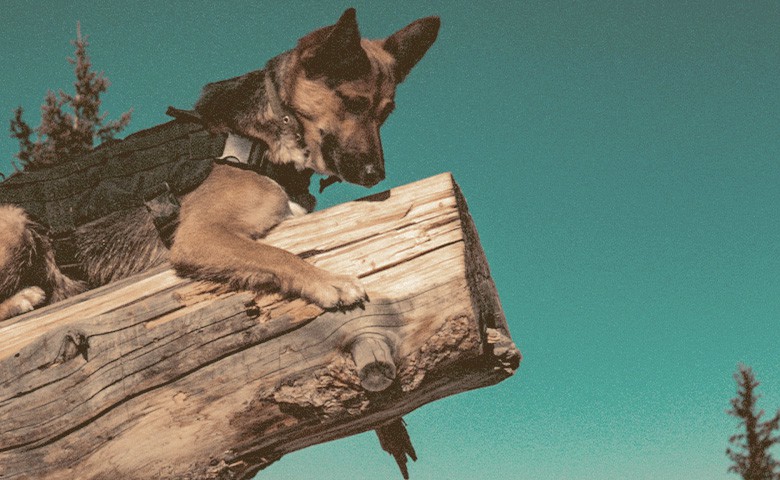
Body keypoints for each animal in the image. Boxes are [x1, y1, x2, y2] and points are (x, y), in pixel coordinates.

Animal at [0, 7, 438, 320]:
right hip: (15, 221)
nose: (375, 175)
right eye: (351, 102)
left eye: (385, 113)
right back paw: (22, 298)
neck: (265, 136)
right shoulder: (201, 236)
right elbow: (277, 255)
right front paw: (327, 280)